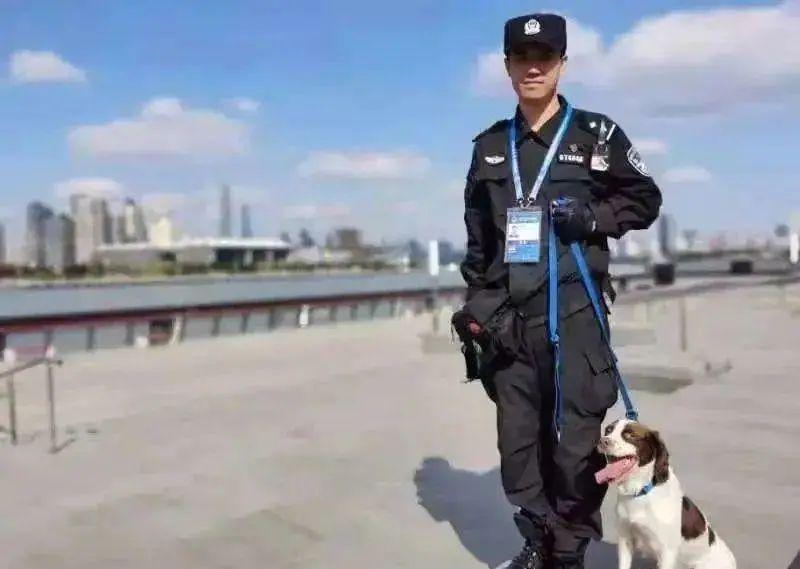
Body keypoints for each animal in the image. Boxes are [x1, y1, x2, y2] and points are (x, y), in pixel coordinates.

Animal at [596, 419, 736, 569]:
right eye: (608, 430)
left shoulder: (667, 552)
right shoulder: (625, 539)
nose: (603, 441)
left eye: (630, 435)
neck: (641, 491)